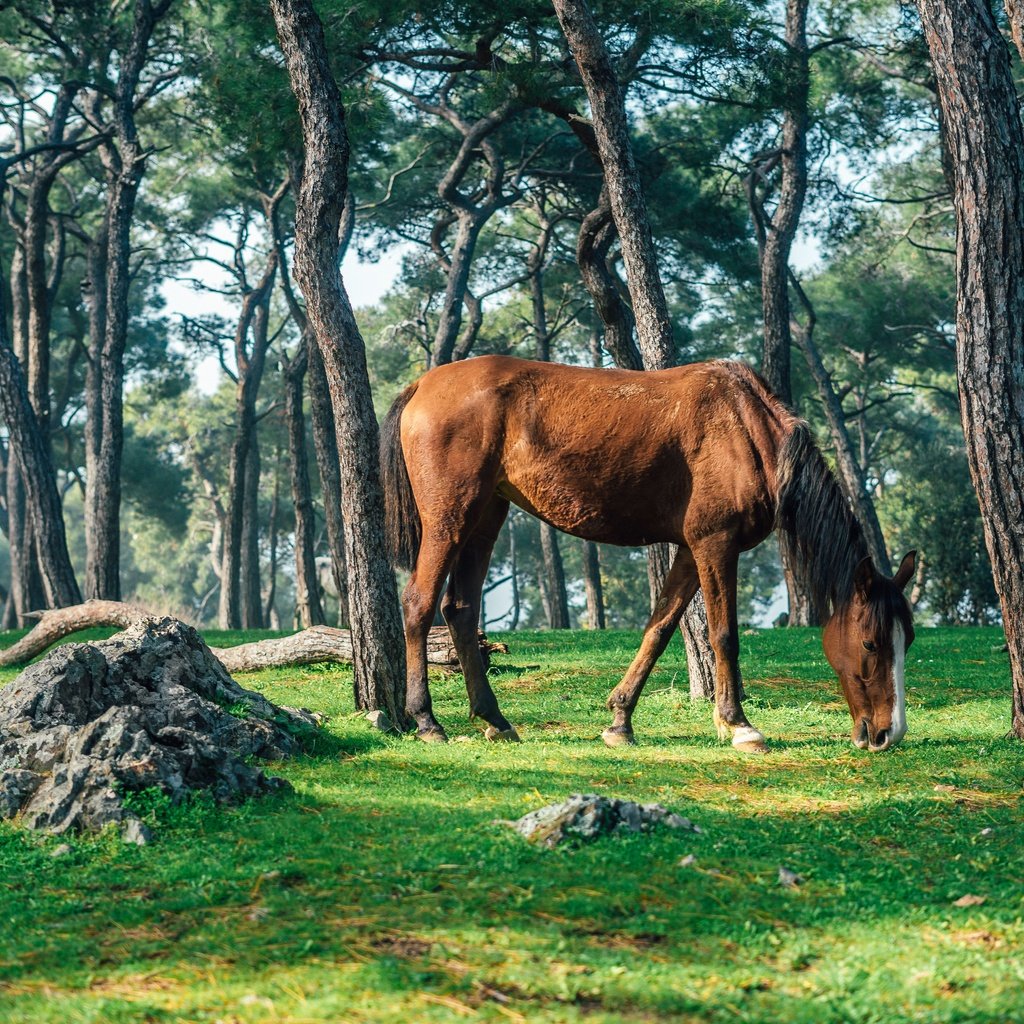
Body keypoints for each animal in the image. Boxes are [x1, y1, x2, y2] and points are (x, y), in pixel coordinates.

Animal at [380, 358, 917, 753]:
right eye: (870, 643)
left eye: (906, 640)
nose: (887, 734)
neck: (747, 428)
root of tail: (422, 384)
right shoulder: (715, 545)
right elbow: (724, 636)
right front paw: (739, 725)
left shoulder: (690, 551)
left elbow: (659, 630)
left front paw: (621, 720)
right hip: (451, 518)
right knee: (419, 605)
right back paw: (427, 720)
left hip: (486, 517)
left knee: (460, 610)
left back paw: (495, 719)